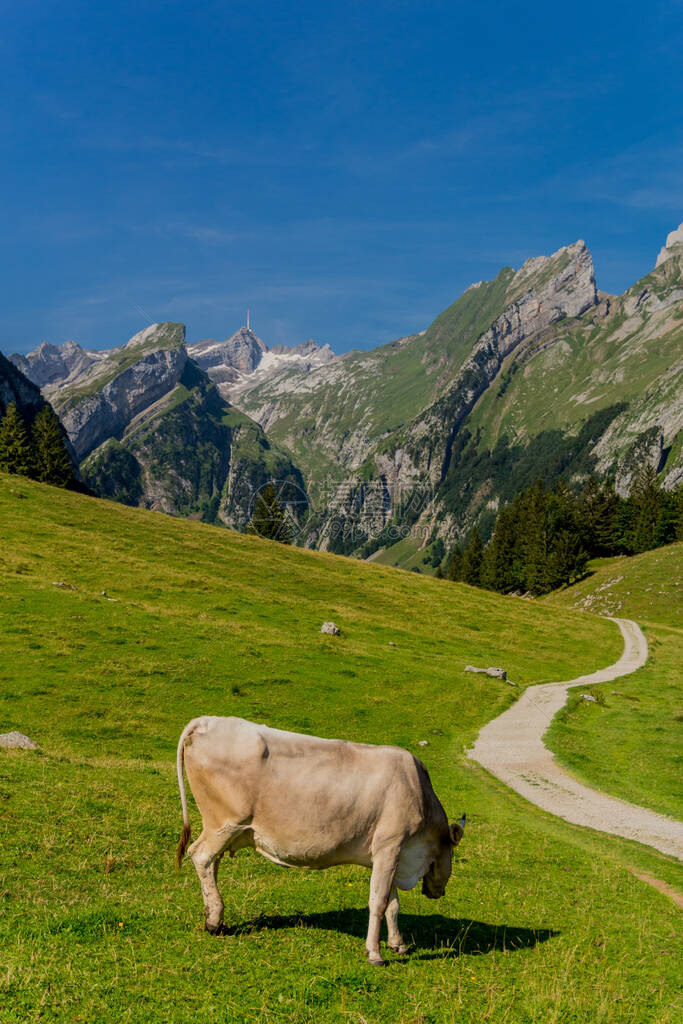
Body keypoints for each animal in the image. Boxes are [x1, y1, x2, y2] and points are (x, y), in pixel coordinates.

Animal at [175, 716, 464, 962]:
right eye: (452, 854)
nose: (439, 892)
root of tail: (207, 721)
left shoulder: (392, 853)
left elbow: (393, 905)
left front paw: (398, 944)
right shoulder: (389, 845)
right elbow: (379, 901)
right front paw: (374, 953)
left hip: (224, 830)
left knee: (212, 863)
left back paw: (215, 916)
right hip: (224, 823)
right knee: (201, 855)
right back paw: (214, 921)